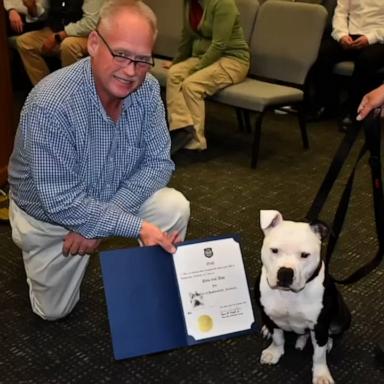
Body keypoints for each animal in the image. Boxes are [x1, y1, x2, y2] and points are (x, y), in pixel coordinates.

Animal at [255, 212, 352, 382]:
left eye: (305, 255)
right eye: (274, 250)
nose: (285, 272)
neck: (289, 295)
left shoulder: (320, 326)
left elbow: (319, 355)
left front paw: (321, 374)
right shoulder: (270, 314)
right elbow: (278, 337)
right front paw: (274, 351)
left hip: (342, 318)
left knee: (330, 333)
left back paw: (327, 342)